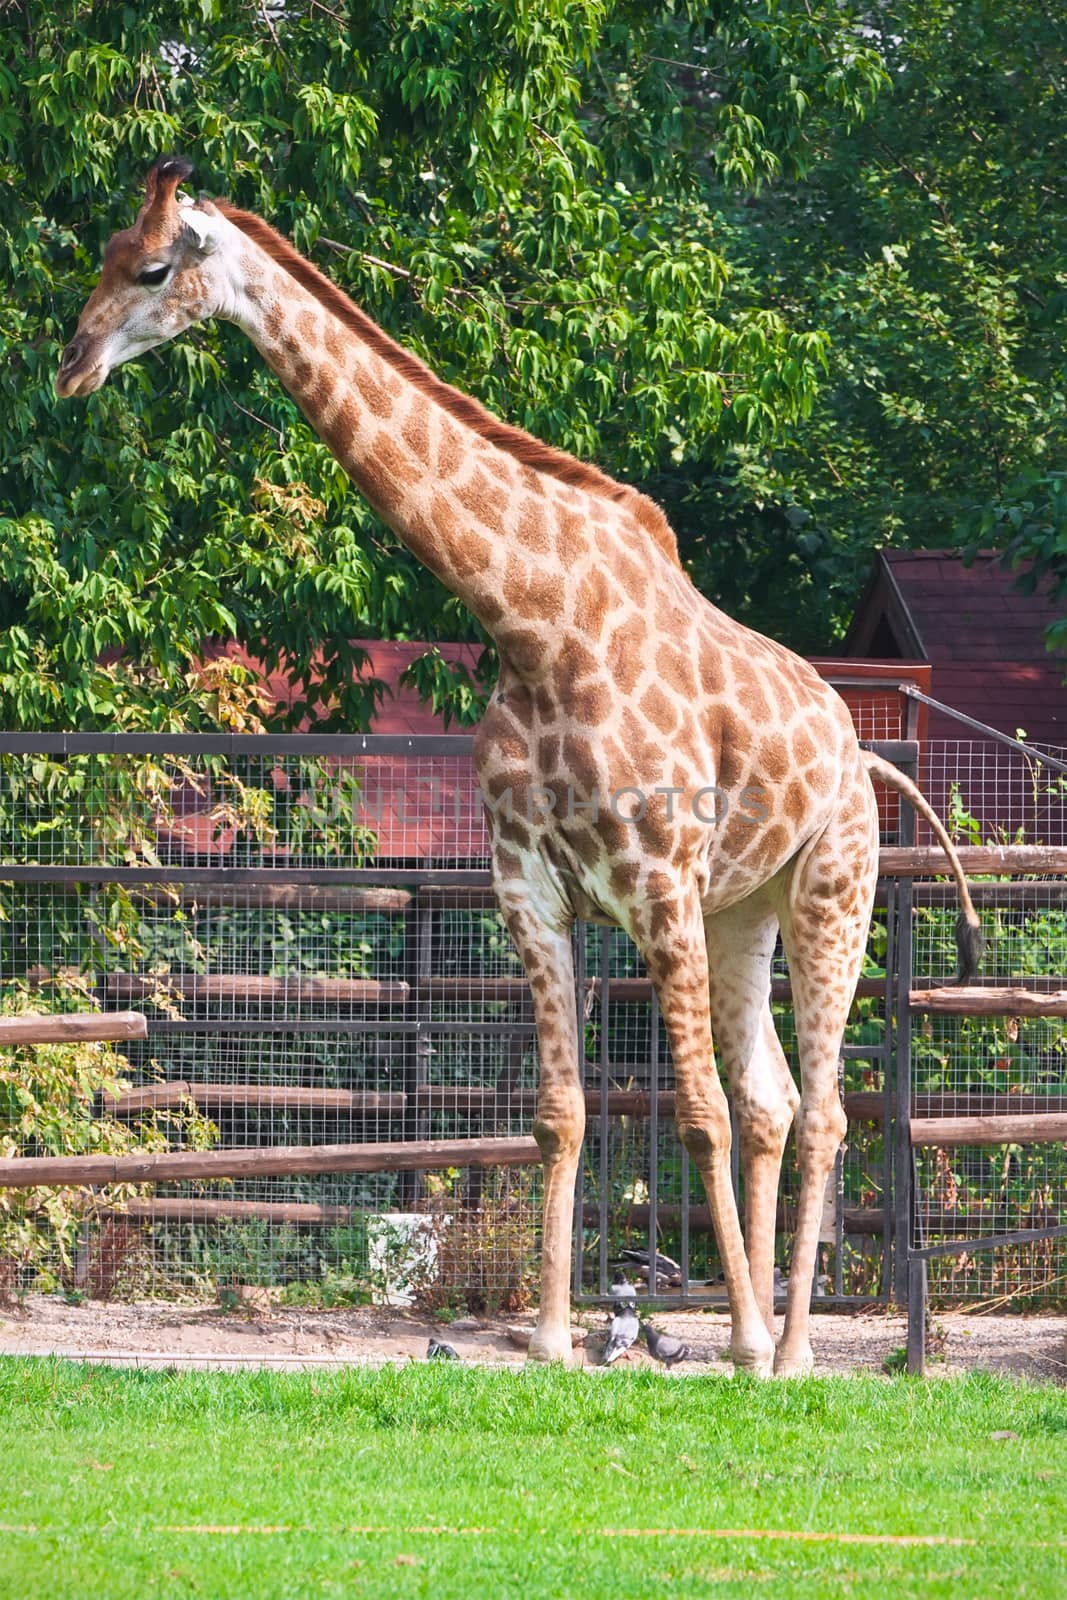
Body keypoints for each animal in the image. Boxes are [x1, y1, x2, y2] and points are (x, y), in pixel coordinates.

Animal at [54, 159, 979, 1376]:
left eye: (154, 267)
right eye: (107, 253)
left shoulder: (655, 881)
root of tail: (864, 745)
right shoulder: (528, 886)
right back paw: (769, 1342)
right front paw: (547, 1339)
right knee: (773, 1098)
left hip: (834, 887)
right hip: (745, 910)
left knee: (814, 1107)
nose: (70, 362)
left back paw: (781, 1353)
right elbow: (559, 1113)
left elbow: (690, 1114)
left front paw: (721, 1339)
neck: (534, 624)